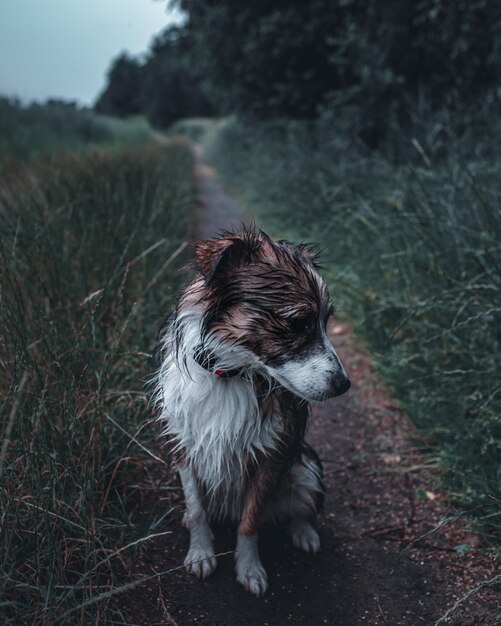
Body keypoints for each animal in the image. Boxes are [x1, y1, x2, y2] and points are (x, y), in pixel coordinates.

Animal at [152, 225, 348, 596]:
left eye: (325, 322)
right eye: (298, 323)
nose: (344, 385)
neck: (229, 374)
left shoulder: (272, 456)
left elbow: (250, 520)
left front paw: (249, 568)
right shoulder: (183, 445)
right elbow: (197, 510)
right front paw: (201, 552)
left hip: (307, 467)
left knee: (300, 510)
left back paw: (305, 534)